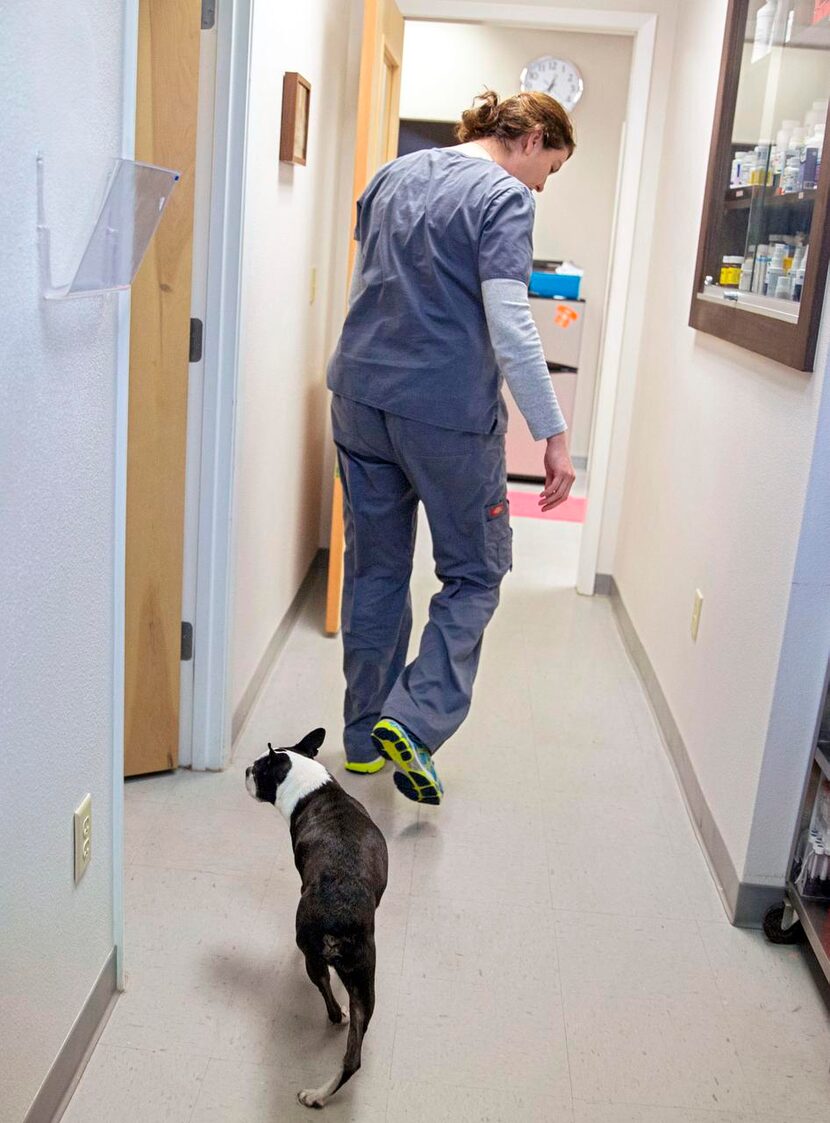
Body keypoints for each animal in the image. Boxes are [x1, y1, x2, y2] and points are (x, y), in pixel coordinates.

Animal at [247, 727, 388, 1105]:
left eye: (257, 770)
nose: (246, 771)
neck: (312, 786)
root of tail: (340, 916)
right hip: (364, 980)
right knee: (352, 1058)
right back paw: (320, 1096)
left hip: (314, 954)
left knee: (326, 990)